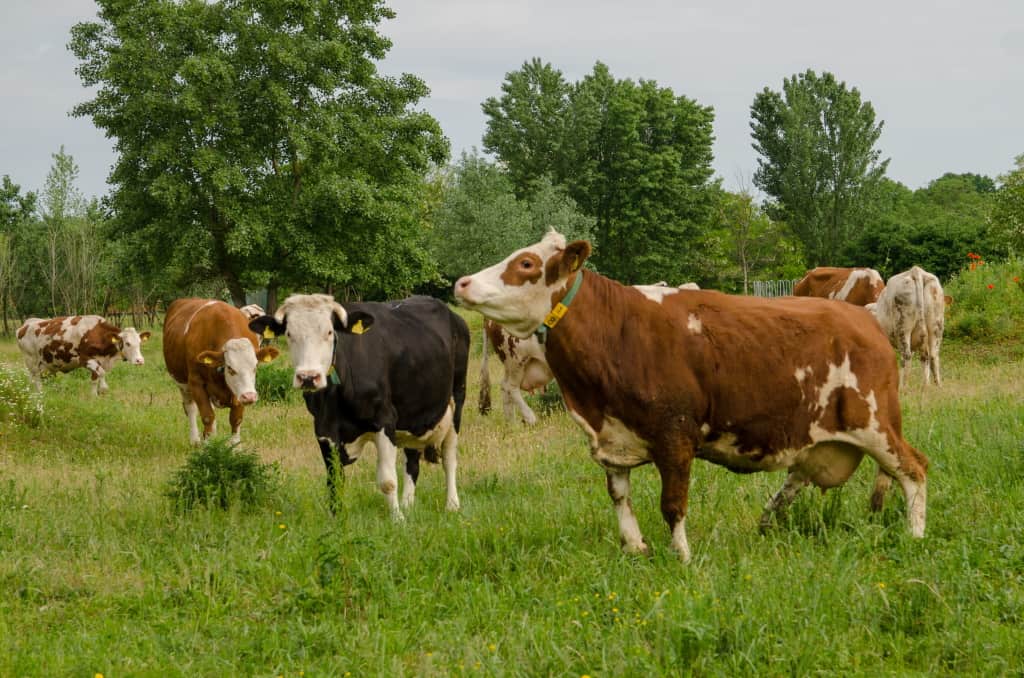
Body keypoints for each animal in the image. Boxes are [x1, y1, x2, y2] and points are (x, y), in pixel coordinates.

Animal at [17, 315, 149, 395]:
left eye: (140, 342)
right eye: (127, 343)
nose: (140, 360)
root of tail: (26, 324)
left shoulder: (98, 361)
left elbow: (95, 378)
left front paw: (94, 397)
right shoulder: (84, 359)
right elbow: (102, 373)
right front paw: (103, 389)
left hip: (43, 364)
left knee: (33, 379)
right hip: (31, 361)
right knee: (36, 379)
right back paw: (39, 394)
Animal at [161, 301, 280, 448]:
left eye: (255, 367)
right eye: (230, 368)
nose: (249, 397)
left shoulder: (238, 392)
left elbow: (235, 419)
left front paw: (236, 448)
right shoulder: (196, 382)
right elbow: (207, 416)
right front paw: (208, 447)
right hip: (182, 384)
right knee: (190, 408)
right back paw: (195, 440)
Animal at [247, 292, 471, 520]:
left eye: (329, 332)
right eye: (289, 333)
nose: (308, 377)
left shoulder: (385, 420)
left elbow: (388, 481)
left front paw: (397, 519)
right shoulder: (324, 428)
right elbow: (334, 479)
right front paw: (336, 518)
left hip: (457, 400)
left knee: (449, 458)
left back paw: (452, 505)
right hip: (413, 412)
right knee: (412, 461)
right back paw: (408, 505)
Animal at [456, 231, 929, 561]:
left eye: (526, 263)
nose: (461, 283)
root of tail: (866, 321)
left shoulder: (675, 435)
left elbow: (672, 504)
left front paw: (681, 556)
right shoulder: (612, 438)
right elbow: (619, 497)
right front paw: (635, 548)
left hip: (874, 423)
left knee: (913, 468)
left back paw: (915, 535)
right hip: (819, 434)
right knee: (800, 476)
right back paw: (767, 520)